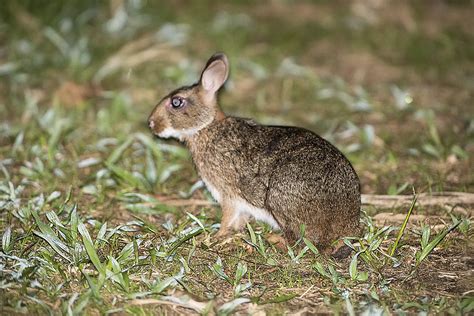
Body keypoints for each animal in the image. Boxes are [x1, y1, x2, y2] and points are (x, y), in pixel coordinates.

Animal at [150, 51, 362, 254]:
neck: (207, 127)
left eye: (176, 102)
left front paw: (215, 236)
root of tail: (346, 222)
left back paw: (275, 240)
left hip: (279, 199)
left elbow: (227, 217)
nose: (151, 123)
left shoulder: (227, 194)